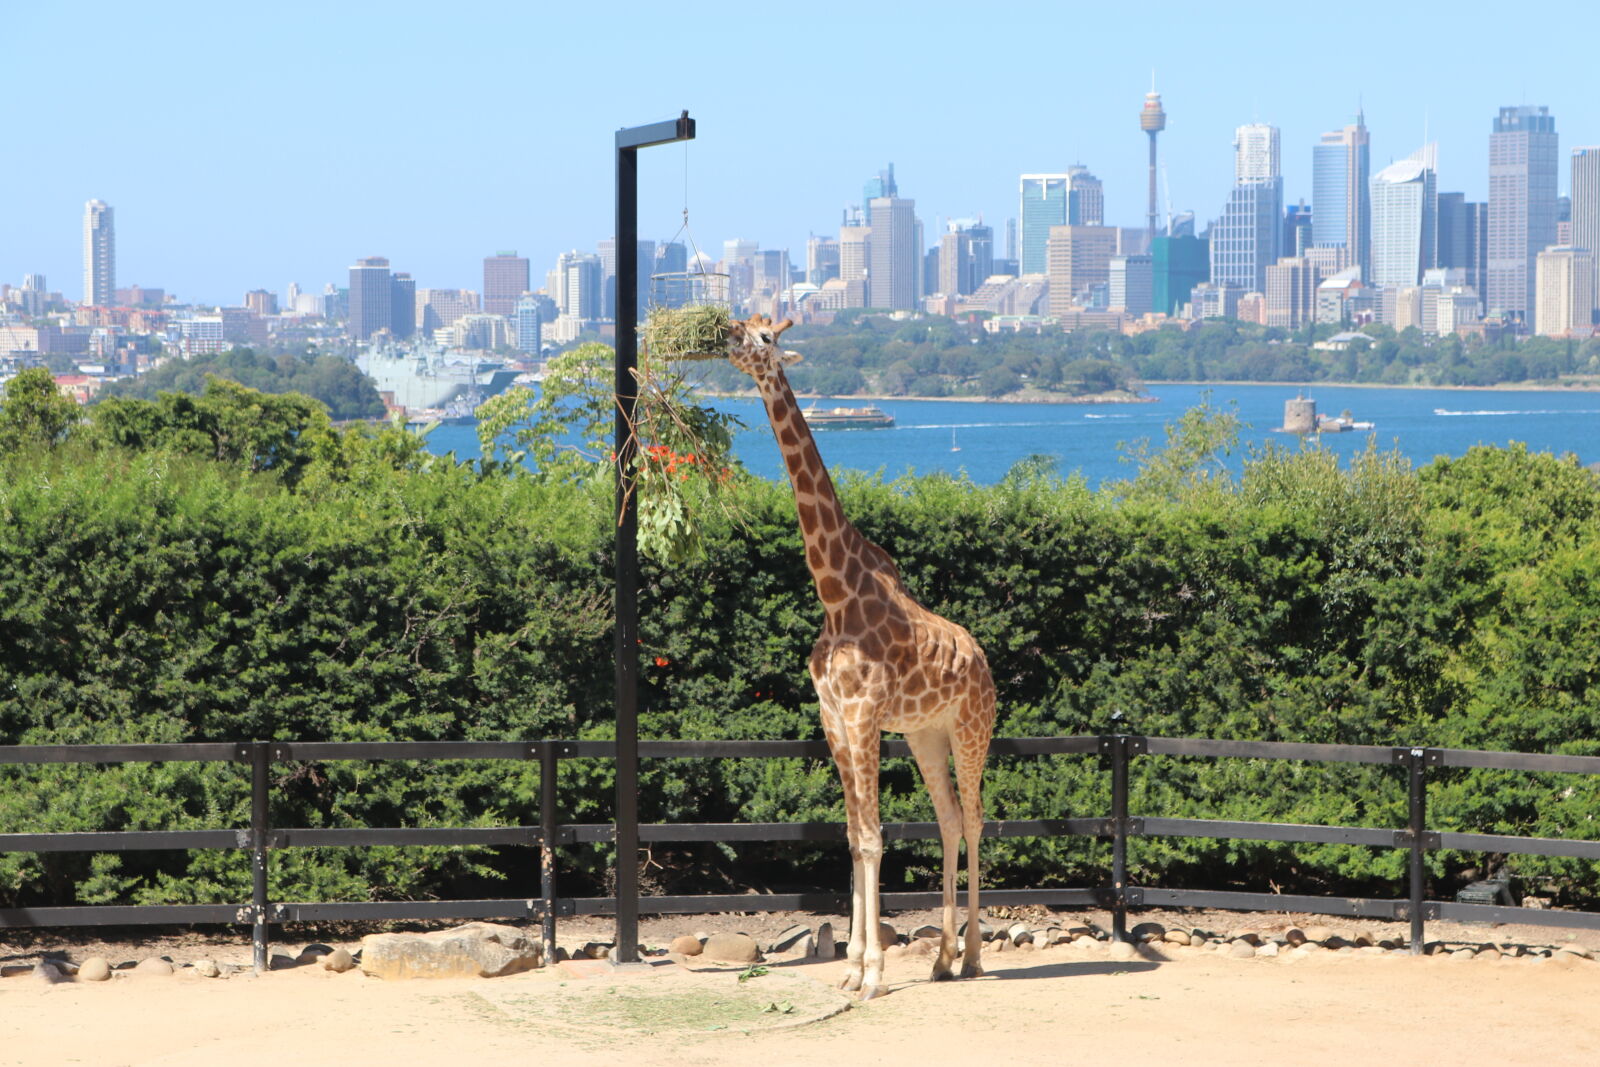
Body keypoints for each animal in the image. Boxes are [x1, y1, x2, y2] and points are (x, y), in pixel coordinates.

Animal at [725, 313, 996, 1000]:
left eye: (766, 338)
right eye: (748, 321)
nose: (726, 334)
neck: (835, 592)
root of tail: (983, 660)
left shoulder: (866, 713)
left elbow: (874, 839)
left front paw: (871, 972)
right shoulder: (833, 717)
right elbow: (851, 837)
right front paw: (848, 966)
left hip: (971, 728)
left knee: (976, 820)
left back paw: (974, 958)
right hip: (926, 734)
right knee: (948, 819)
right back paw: (941, 959)